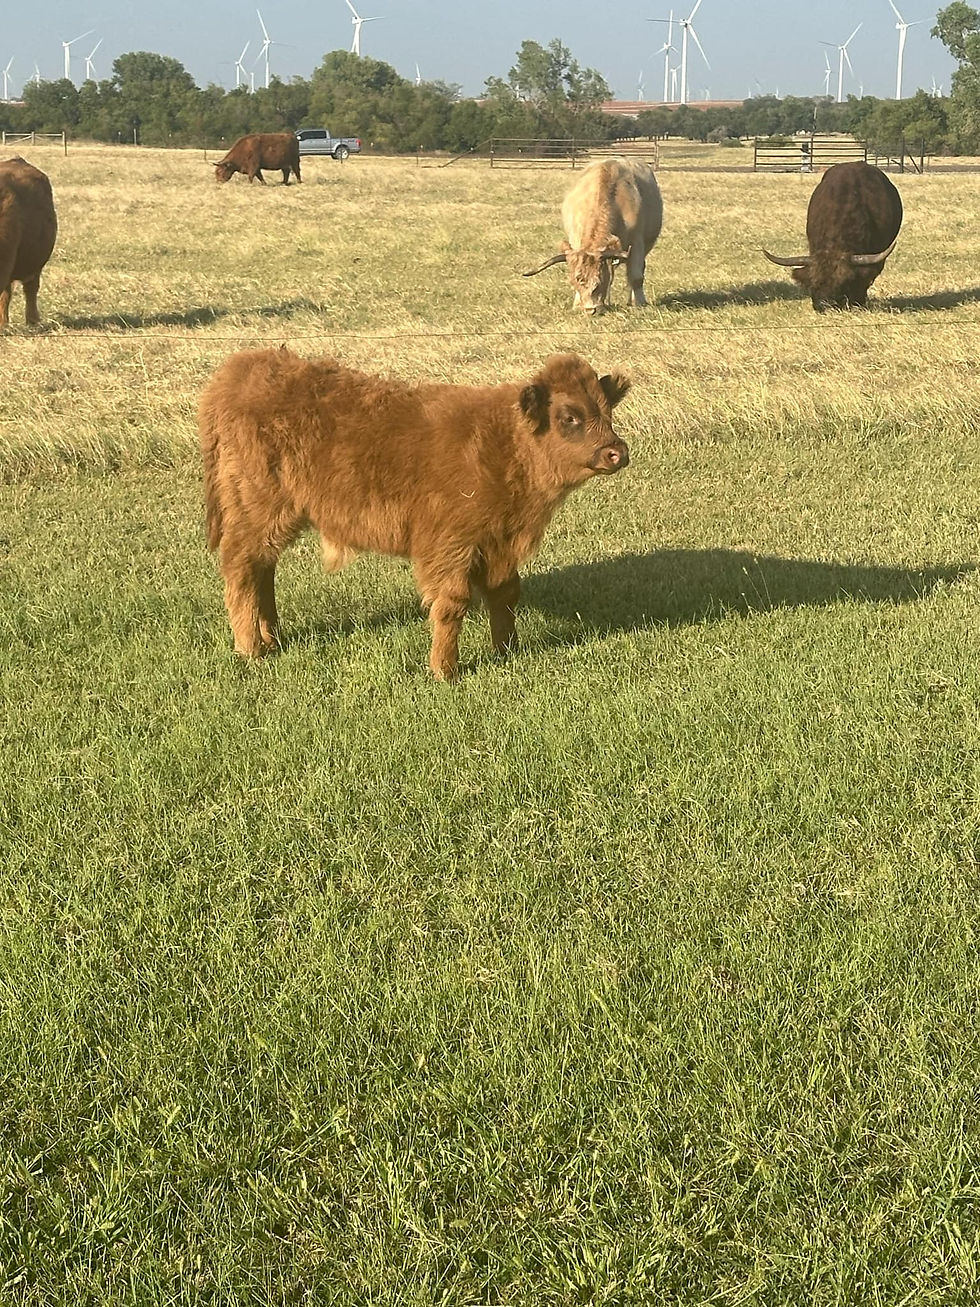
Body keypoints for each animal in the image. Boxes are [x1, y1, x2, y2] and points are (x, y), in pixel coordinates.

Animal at [199, 349, 631, 680]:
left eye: (607, 411)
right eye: (569, 416)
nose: (618, 452)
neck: (500, 443)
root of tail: (239, 370)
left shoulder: (498, 543)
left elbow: (506, 593)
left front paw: (507, 651)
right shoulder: (450, 547)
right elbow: (452, 603)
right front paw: (445, 670)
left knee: (262, 569)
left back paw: (272, 638)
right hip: (259, 508)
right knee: (241, 566)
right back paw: (251, 649)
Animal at [523, 157, 663, 314]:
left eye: (599, 280)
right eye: (576, 281)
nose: (591, 310)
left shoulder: (637, 243)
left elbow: (636, 277)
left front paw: (639, 303)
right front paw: (577, 304)